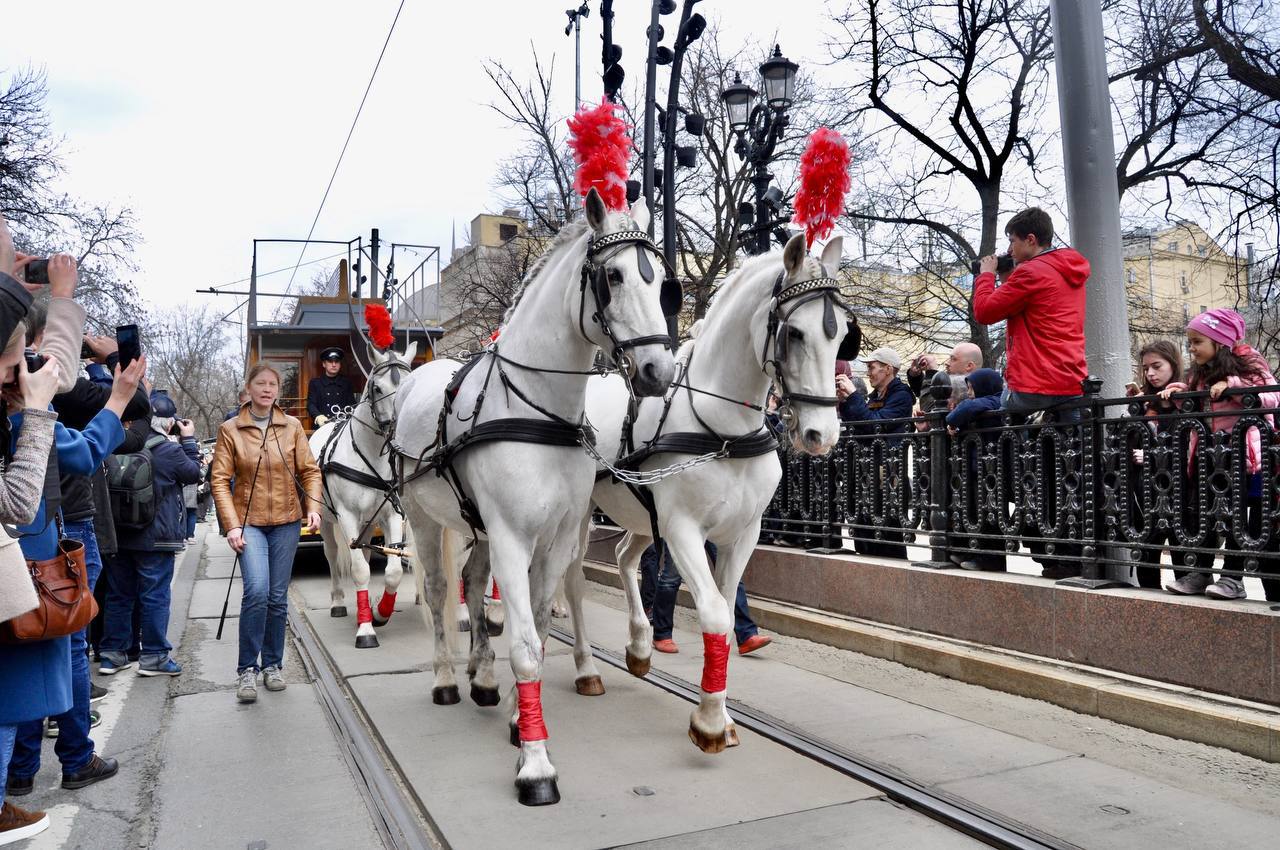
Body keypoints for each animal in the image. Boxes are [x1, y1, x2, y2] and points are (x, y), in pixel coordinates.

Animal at [309, 343, 414, 647]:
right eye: (378, 388)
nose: (399, 428)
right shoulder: (347, 516)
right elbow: (357, 570)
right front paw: (366, 630)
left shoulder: (392, 515)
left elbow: (393, 572)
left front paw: (379, 614)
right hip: (328, 520)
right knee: (332, 554)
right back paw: (338, 602)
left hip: (367, 523)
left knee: (365, 555)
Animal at [396, 189, 680, 809]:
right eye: (613, 276)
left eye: (662, 280)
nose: (659, 370)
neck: (539, 410)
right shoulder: (510, 536)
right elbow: (524, 644)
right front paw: (536, 765)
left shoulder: (553, 539)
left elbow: (542, 630)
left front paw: (517, 719)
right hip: (426, 519)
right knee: (439, 589)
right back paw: (447, 678)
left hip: (477, 527)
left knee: (472, 582)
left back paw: (481, 677)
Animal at [565, 232, 855, 752]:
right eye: (794, 334)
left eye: (843, 334)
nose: (822, 435)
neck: (724, 430)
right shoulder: (683, 531)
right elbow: (715, 614)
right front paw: (710, 722)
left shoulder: (742, 534)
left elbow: (727, 598)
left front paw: (721, 709)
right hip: (581, 515)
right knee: (574, 578)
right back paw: (585, 667)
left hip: (643, 518)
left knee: (623, 556)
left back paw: (640, 643)